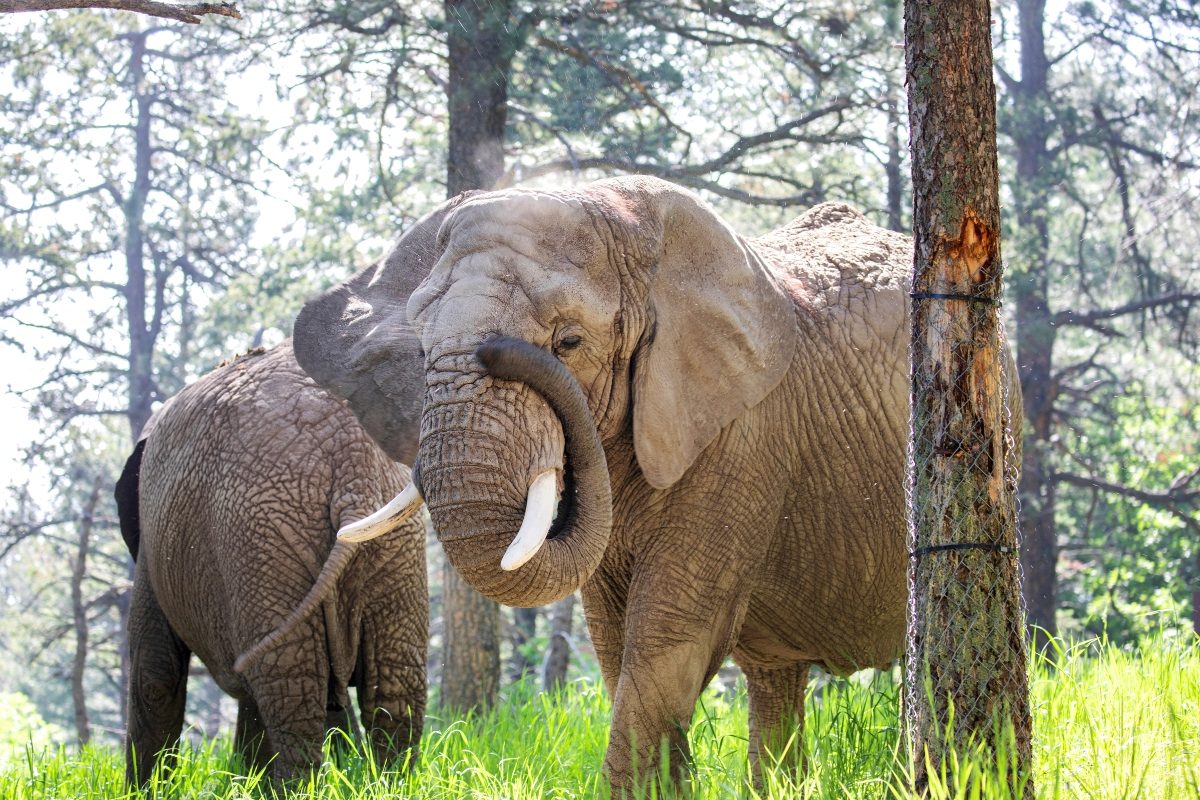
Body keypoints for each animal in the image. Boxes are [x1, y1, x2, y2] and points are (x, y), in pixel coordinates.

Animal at [113, 339, 428, 787]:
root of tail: (350, 461)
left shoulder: (151, 550)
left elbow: (155, 673)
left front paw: (143, 792)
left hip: (260, 538)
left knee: (289, 684)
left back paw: (294, 788)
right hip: (391, 544)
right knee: (393, 687)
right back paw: (386, 784)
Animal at [292, 177, 1020, 790]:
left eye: (569, 341)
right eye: (420, 351)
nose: (500, 349)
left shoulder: (742, 436)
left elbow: (668, 636)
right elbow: (615, 643)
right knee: (774, 680)